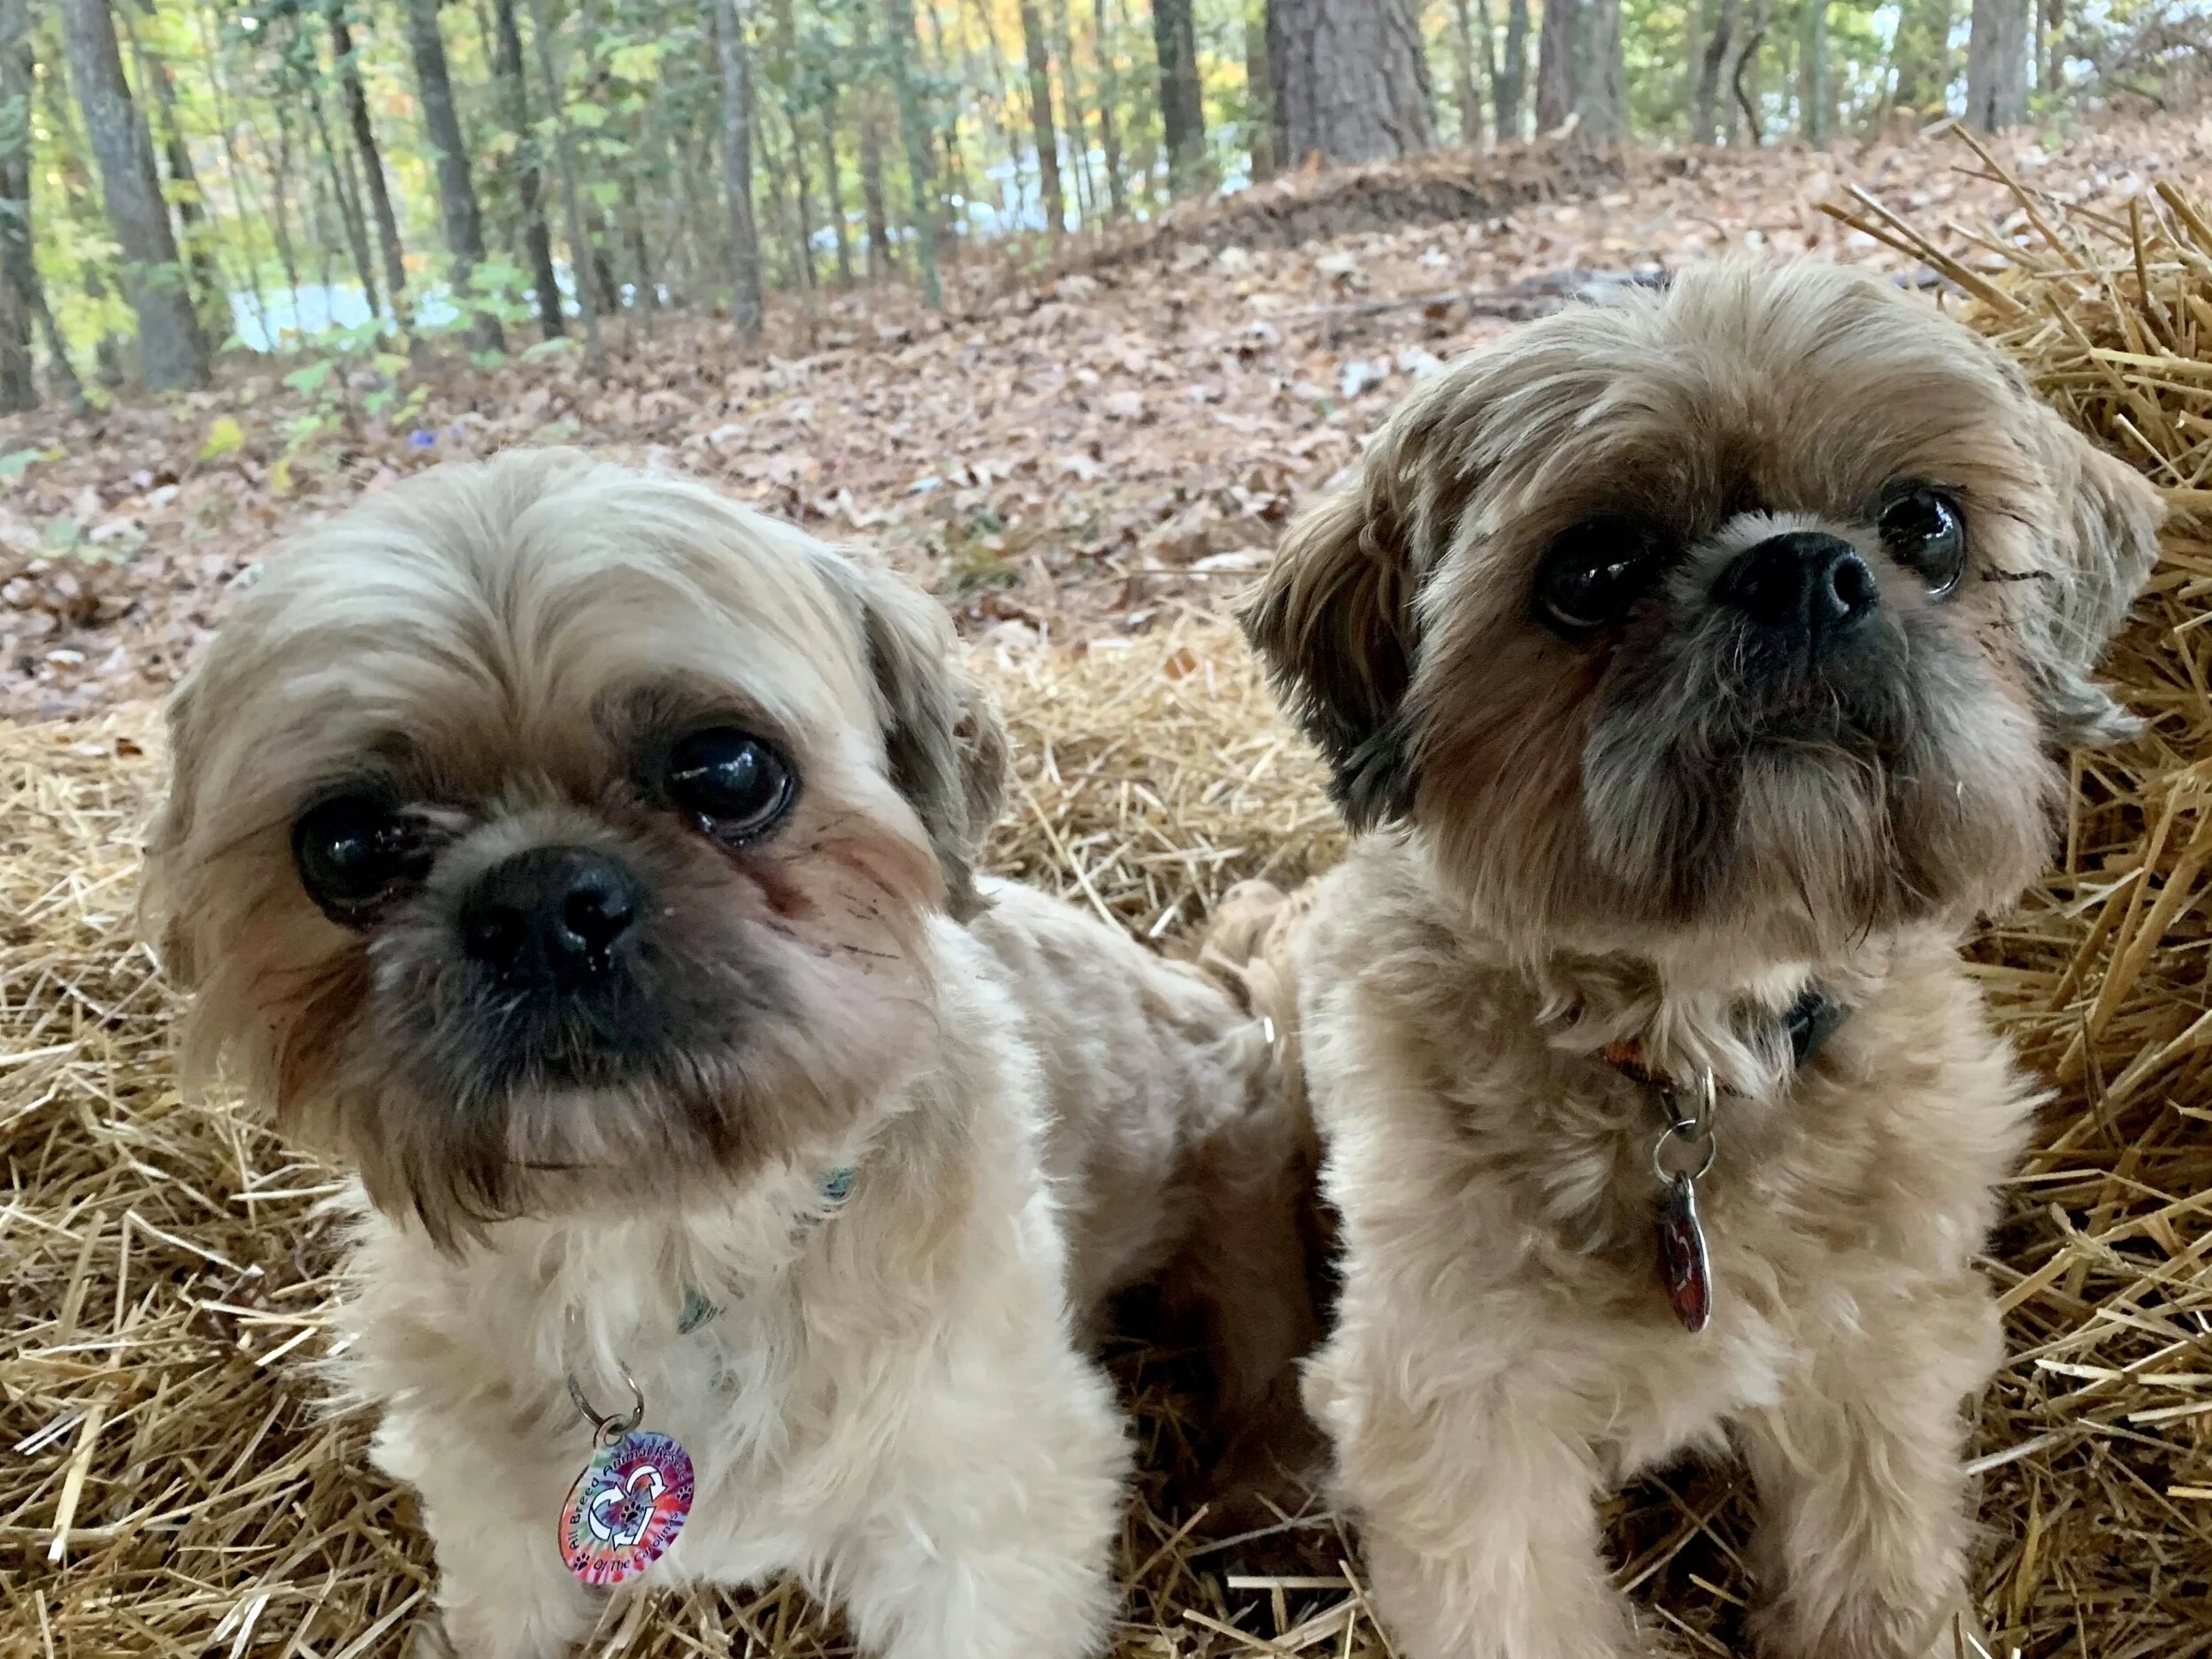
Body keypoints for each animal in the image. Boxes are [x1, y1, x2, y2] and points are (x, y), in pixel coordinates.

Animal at [143, 450, 1315, 1659]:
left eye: (729, 769)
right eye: (344, 844)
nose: (539, 903)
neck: (660, 1247)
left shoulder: (988, 1525)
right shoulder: (489, 1512)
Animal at [1225, 262, 2164, 1658]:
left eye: (1926, 522)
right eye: (1593, 568)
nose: (1806, 570)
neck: (1696, 1051)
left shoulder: (1873, 1357)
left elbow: (1874, 1570)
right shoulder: (1459, 1416)